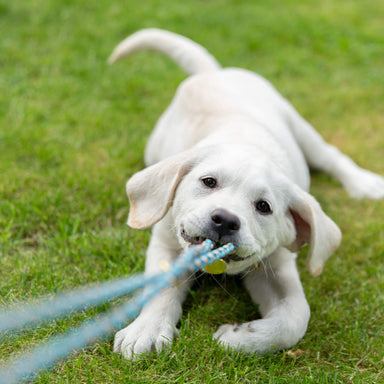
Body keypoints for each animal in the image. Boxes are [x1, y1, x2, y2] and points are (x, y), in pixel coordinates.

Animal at [107, 28, 384, 358]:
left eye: (264, 207)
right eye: (208, 182)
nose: (225, 220)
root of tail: (212, 73)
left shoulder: (277, 266)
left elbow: (294, 319)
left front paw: (237, 338)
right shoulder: (165, 242)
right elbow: (161, 288)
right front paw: (147, 330)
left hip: (299, 125)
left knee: (331, 155)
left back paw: (364, 183)